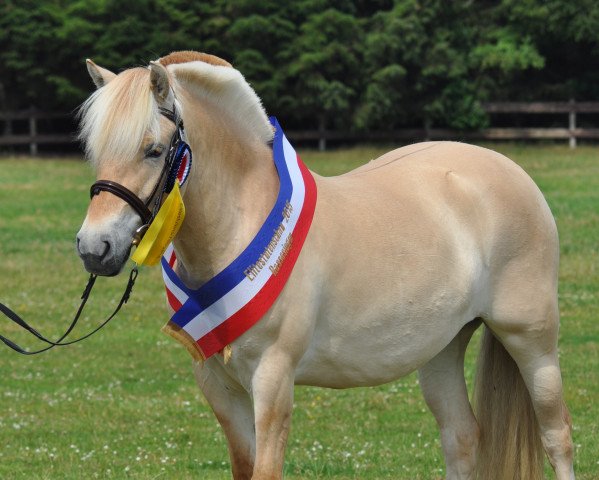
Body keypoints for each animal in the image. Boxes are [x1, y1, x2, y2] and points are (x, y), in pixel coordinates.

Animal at [76, 50, 576, 478]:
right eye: (96, 150)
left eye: (154, 150)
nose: (94, 247)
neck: (243, 225)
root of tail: (509, 171)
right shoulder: (219, 386)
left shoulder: (273, 379)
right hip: (442, 347)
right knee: (462, 438)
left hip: (531, 340)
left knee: (557, 437)